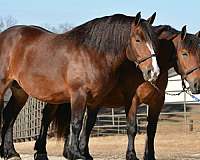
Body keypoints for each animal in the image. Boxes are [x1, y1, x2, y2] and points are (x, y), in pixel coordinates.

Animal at [0, 12, 160, 159]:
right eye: (138, 40)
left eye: (154, 41)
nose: (154, 71)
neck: (91, 54)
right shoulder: (79, 95)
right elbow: (76, 124)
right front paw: (76, 153)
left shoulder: (96, 100)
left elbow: (88, 125)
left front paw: (83, 153)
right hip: (3, 87)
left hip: (20, 91)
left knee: (9, 115)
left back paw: (11, 152)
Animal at [32, 25, 200, 160]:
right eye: (184, 53)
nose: (197, 84)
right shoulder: (132, 100)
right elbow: (132, 128)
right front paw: (131, 155)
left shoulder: (157, 102)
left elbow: (151, 130)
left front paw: (149, 156)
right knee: (47, 117)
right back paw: (41, 152)